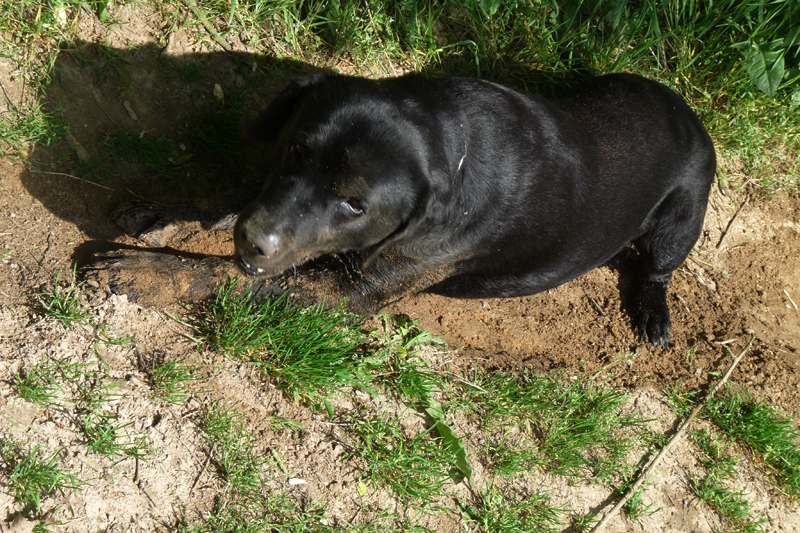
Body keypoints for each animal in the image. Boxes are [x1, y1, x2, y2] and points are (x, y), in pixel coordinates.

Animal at [230, 71, 712, 344]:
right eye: (295, 148)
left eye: (355, 204)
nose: (254, 239)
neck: (451, 145)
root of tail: (688, 113)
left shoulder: (360, 282)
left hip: (680, 219)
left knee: (658, 268)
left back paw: (654, 319)